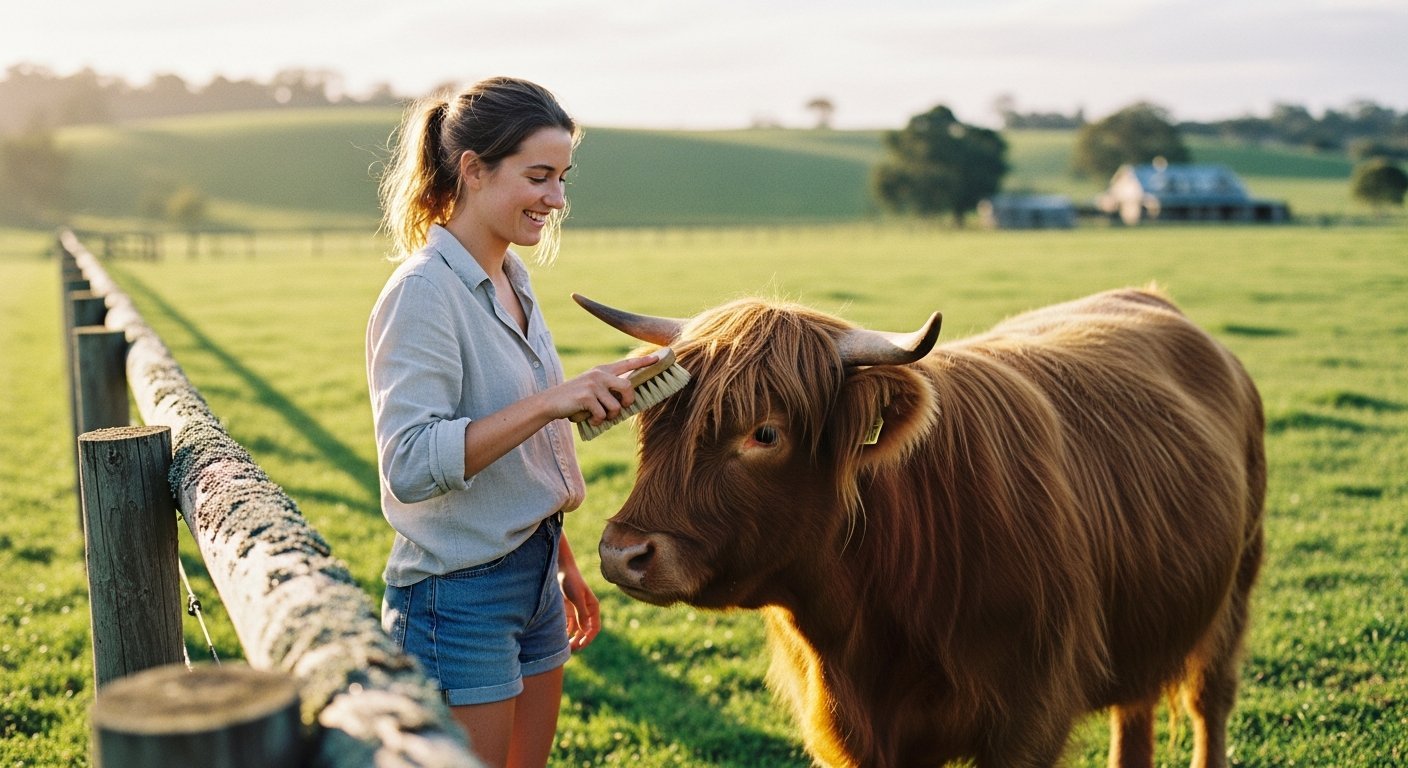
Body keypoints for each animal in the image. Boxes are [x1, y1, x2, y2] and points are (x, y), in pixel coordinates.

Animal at [575, 287, 1265, 768]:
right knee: (1136, 707)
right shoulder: (853, 733)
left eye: (765, 432)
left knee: (1210, 701)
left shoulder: (1029, 720)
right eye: (648, 421)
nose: (621, 552)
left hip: (1233, 596)